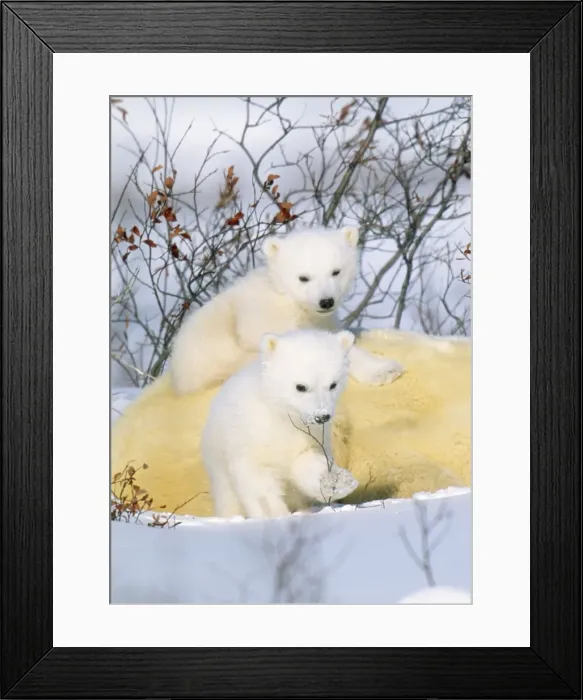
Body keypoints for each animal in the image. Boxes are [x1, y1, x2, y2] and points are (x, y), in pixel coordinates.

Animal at [170, 226, 403, 395]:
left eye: (336, 271)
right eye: (304, 277)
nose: (326, 301)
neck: (291, 301)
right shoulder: (267, 320)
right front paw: (384, 371)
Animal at [200, 329, 360, 519]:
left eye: (333, 384)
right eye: (301, 386)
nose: (322, 416)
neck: (281, 416)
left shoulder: (310, 436)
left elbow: (308, 461)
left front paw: (337, 482)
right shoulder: (251, 438)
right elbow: (258, 480)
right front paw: (274, 514)